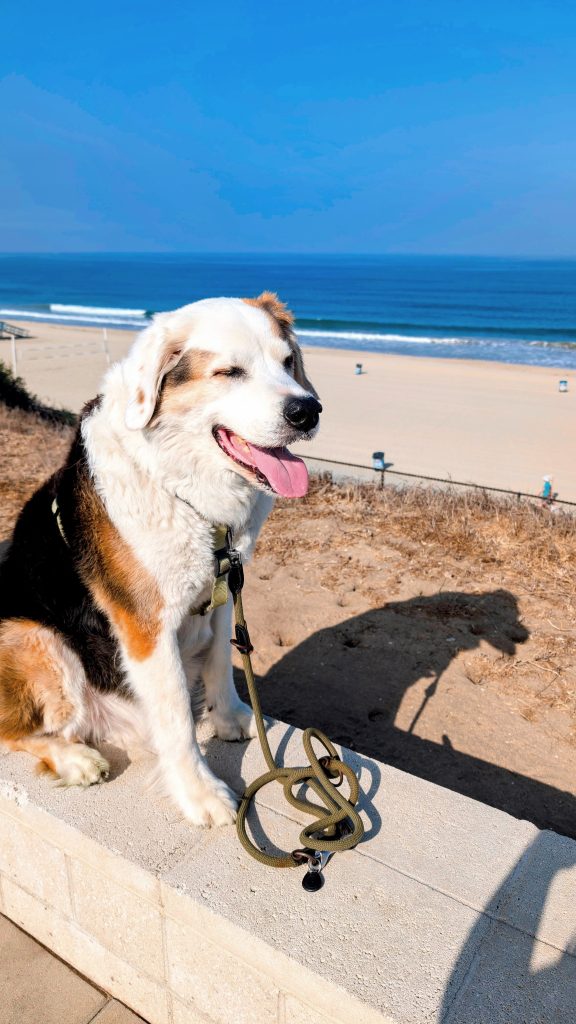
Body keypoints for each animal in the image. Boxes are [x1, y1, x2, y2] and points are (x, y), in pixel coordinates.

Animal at [0, 292, 319, 827]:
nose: (308, 411)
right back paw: (75, 758)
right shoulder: (147, 626)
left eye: (287, 362)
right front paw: (200, 793)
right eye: (229, 372)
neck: (182, 485)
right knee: (14, 730)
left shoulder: (226, 585)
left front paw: (230, 717)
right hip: (32, 637)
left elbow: (221, 661)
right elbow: (176, 721)